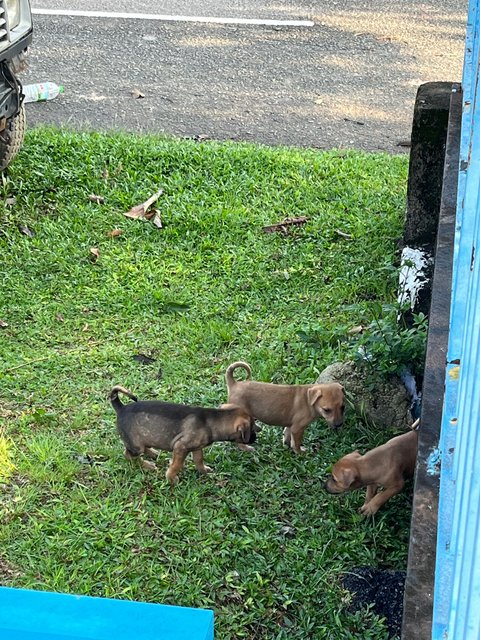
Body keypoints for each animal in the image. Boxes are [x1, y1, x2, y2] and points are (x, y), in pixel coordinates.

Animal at [111, 384, 256, 484]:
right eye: (252, 428)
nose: (255, 438)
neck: (213, 421)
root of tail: (121, 408)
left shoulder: (196, 447)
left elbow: (199, 460)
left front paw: (204, 471)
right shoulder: (181, 447)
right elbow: (176, 465)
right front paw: (171, 479)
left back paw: (153, 453)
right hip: (136, 445)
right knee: (128, 455)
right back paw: (148, 465)